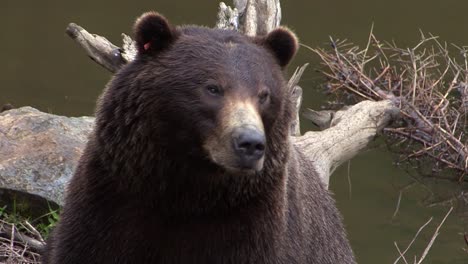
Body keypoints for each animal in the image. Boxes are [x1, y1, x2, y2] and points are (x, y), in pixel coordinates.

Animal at [44, 11, 358, 264]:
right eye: (213, 88)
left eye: (264, 94)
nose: (250, 144)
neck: (191, 190)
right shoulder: (112, 198)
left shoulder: (253, 222)